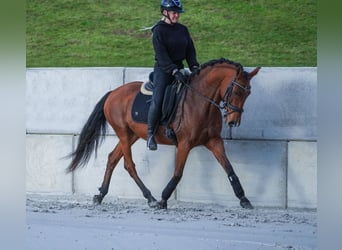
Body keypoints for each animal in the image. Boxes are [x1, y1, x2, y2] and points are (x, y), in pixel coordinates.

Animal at [66, 58, 260, 209]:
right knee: (129, 165)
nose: (233, 121)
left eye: (248, 93)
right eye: (237, 91)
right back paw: (150, 197)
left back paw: (101, 195)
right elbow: (178, 173)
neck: (201, 102)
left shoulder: (214, 141)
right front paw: (163, 199)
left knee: (112, 158)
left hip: (131, 135)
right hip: (123, 133)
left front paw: (244, 199)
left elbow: (229, 168)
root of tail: (113, 92)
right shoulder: (184, 143)